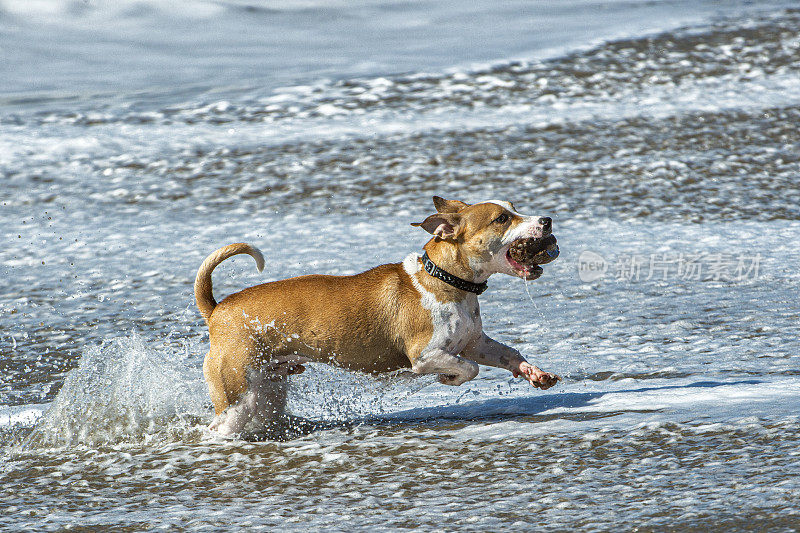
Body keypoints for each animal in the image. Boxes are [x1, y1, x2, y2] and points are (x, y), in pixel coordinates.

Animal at [195, 197, 560, 434]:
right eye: (502, 219)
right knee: (222, 422)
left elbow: (506, 353)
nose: (546, 220)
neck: (444, 279)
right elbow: (468, 369)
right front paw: (448, 379)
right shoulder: (425, 356)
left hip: (269, 385)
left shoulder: (474, 342)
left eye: (515, 208)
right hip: (236, 390)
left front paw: (534, 373)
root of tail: (216, 309)